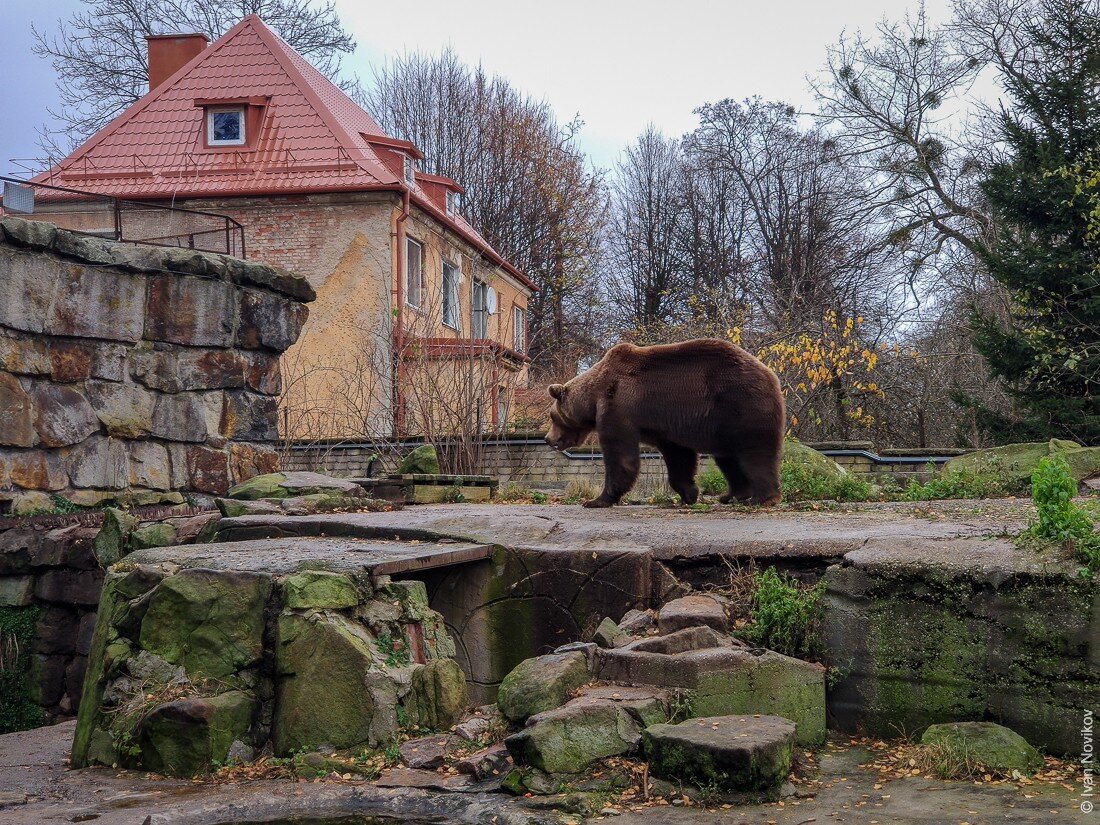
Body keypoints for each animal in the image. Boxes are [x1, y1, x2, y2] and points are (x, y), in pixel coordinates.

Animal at [545, 338, 787, 508]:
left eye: (553, 416)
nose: (548, 439)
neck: (593, 396)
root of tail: (771, 376)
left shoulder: (618, 408)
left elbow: (620, 455)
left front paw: (597, 500)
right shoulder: (664, 425)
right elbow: (679, 457)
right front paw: (689, 493)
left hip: (742, 407)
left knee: (754, 454)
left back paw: (763, 497)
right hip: (725, 424)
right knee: (728, 458)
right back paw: (731, 495)